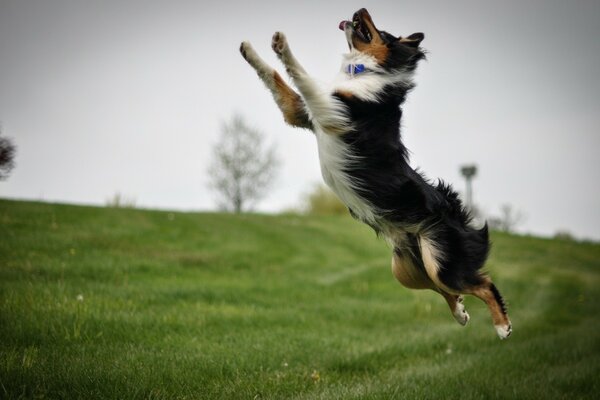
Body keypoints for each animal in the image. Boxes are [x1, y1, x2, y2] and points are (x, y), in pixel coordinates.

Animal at [239, 7, 510, 340]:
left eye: (383, 32)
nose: (360, 9)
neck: (364, 71)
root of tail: (453, 210)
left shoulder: (332, 110)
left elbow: (300, 74)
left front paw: (282, 45)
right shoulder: (303, 113)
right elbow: (275, 76)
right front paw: (249, 50)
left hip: (440, 258)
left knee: (482, 283)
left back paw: (503, 326)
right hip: (407, 270)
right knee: (445, 288)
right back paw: (460, 312)